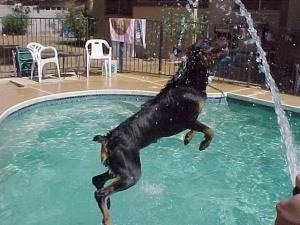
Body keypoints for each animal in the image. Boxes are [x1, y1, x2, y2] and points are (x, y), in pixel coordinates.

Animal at [91, 37, 227, 225]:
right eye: (207, 43)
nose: (224, 37)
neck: (188, 80)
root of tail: (108, 139)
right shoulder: (187, 119)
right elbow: (209, 129)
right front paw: (204, 144)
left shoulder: (191, 120)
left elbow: (198, 128)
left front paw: (188, 138)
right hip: (131, 172)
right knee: (100, 192)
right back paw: (108, 218)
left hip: (117, 167)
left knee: (97, 180)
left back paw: (108, 204)